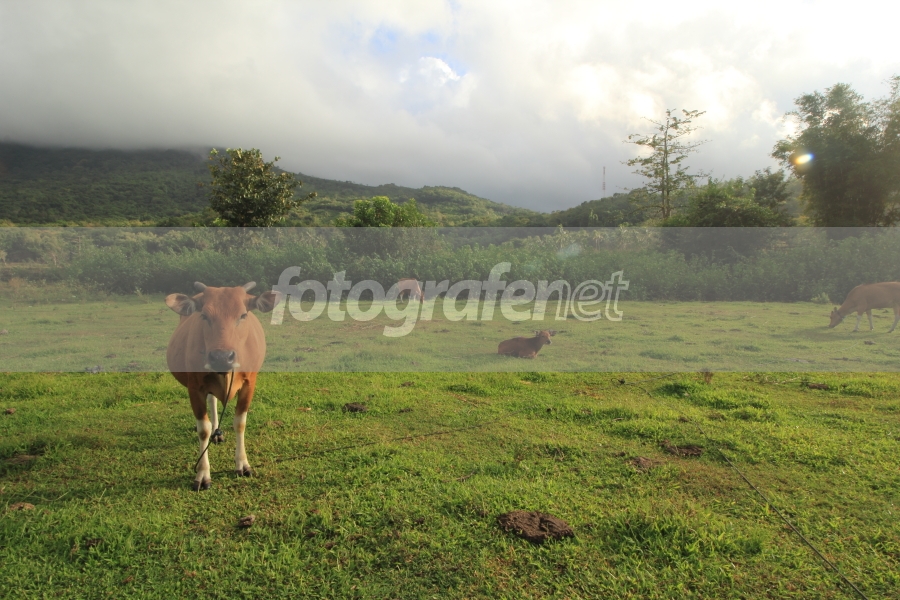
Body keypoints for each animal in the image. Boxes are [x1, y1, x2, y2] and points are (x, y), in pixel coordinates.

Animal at [166, 282, 279, 491]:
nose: (221, 357)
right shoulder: (194, 387)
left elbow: (240, 423)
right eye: (204, 315)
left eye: (243, 315)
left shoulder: (250, 383)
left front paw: (243, 464)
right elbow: (203, 429)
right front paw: (203, 474)